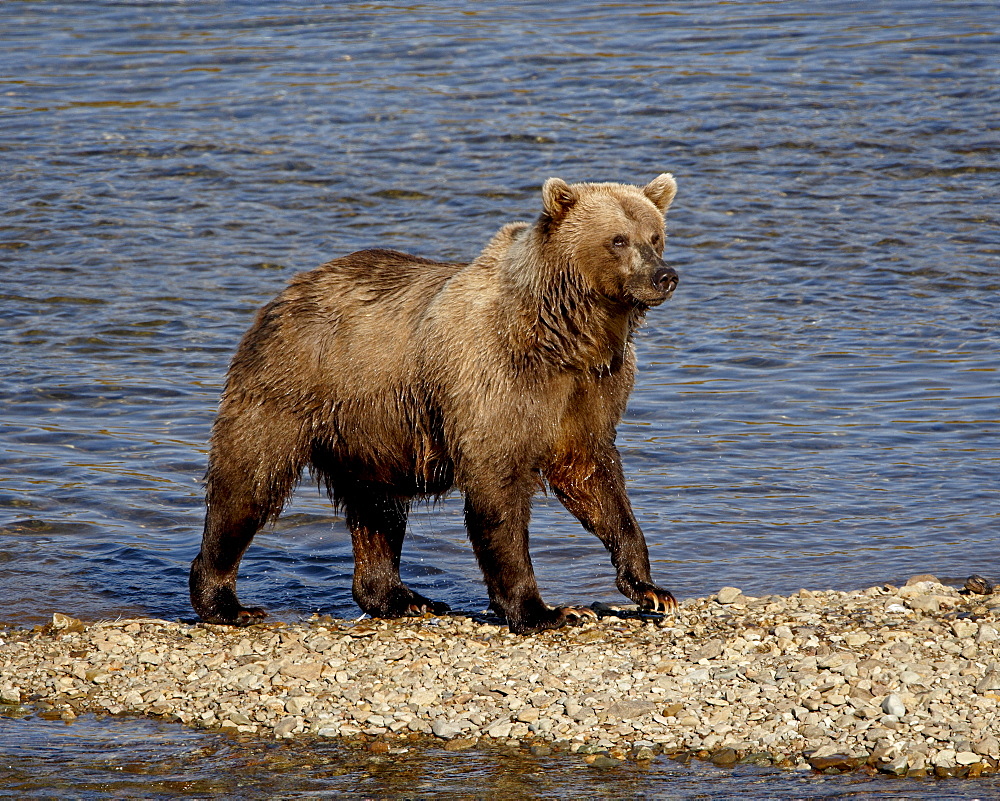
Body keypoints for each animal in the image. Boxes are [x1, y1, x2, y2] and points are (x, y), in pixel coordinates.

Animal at [189, 173, 680, 632]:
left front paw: (651, 589)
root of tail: (285, 293)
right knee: (250, 482)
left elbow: (593, 477)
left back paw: (402, 597)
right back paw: (226, 602)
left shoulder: (591, 391)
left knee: (378, 509)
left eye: (655, 235)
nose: (664, 276)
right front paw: (545, 610)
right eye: (618, 239)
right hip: (290, 387)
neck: (567, 335)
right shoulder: (493, 380)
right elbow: (497, 488)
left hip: (369, 432)